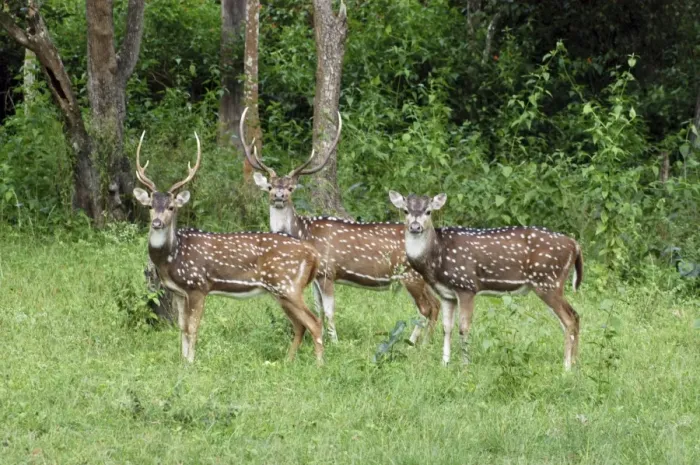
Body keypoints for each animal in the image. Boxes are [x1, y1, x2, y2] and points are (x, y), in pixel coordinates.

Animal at [131, 131, 324, 364]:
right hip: (282, 290)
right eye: (150, 206)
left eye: (171, 207)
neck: (172, 257)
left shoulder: (198, 285)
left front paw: (190, 364)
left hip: (288, 285)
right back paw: (289, 362)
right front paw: (182, 362)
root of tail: (313, 254)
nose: (157, 223)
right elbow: (182, 328)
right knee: (300, 325)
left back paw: (320, 365)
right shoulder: (178, 291)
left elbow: (193, 328)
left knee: (315, 322)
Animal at [240, 107, 440, 344]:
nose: (279, 196)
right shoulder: (316, 276)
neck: (304, 232)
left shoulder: (328, 270)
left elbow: (329, 310)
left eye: (290, 188)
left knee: (427, 308)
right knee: (435, 305)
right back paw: (421, 341)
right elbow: (317, 309)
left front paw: (334, 342)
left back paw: (418, 342)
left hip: (411, 275)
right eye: (270, 186)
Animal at [389, 191, 583, 371]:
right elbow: (447, 327)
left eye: (428, 211)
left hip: (548, 282)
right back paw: (574, 363)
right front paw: (444, 363)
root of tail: (575, 245)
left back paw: (567, 367)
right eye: (405, 210)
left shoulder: (466, 285)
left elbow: (463, 327)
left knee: (569, 319)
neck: (436, 259)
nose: (415, 227)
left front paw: (465, 365)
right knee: (574, 316)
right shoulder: (446, 294)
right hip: (550, 284)